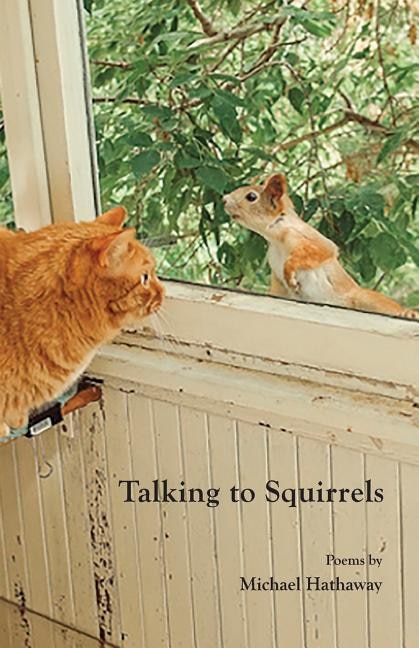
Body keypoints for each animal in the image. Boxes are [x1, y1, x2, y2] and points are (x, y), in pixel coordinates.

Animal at [223, 173, 419, 319]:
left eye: (251, 197)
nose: (224, 199)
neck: (274, 239)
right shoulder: (277, 279)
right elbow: (277, 291)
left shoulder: (307, 237)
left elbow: (320, 251)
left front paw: (290, 271)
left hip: (363, 298)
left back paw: (407, 313)